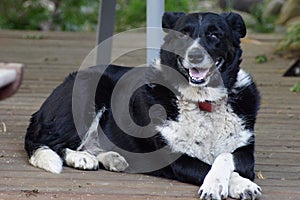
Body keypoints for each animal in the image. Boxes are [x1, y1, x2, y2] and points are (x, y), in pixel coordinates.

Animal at [24, 11, 262, 199]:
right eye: (182, 35)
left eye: (214, 35)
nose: (194, 56)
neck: (203, 102)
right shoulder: (176, 159)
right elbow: (212, 165)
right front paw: (221, 185)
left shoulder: (245, 154)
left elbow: (224, 156)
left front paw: (238, 184)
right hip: (86, 93)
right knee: (50, 143)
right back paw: (81, 158)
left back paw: (111, 158)